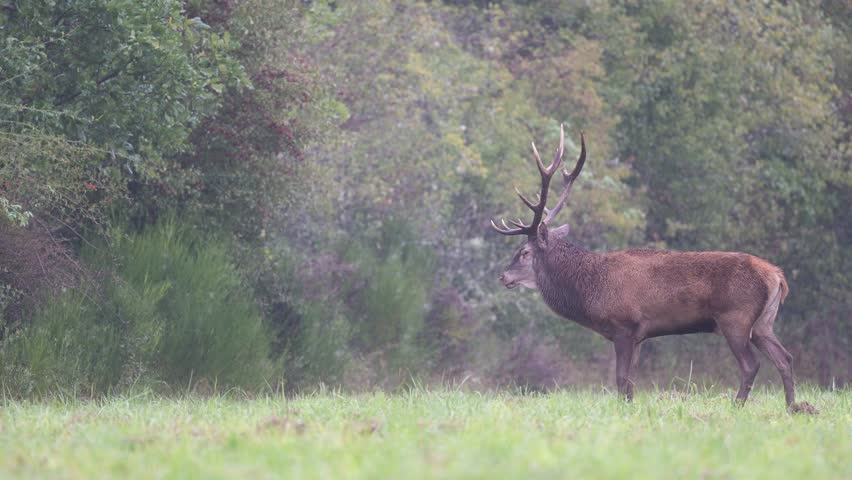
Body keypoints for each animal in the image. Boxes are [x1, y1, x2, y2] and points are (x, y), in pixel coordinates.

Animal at [491, 125, 815, 413]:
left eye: (524, 252)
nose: (503, 276)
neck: (591, 291)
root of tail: (777, 276)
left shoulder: (624, 326)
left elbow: (621, 380)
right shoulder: (640, 336)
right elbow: (631, 383)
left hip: (735, 317)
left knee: (751, 364)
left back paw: (738, 407)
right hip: (763, 323)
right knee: (785, 358)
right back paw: (793, 408)